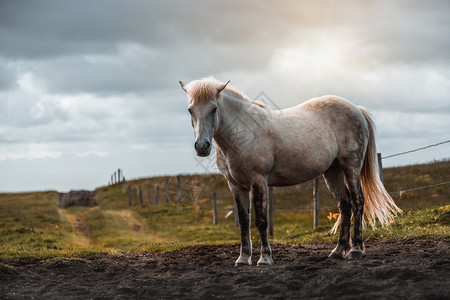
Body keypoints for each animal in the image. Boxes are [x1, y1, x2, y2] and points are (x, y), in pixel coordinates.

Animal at [179, 76, 400, 266]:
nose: (202, 147)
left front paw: (264, 258)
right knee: (345, 205)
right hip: (333, 171)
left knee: (358, 202)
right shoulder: (236, 186)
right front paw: (243, 259)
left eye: (214, 108)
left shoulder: (258, 182)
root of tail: (357, 109)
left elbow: (261, 221)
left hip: (351, 166)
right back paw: (337, 252)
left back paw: (355, 250)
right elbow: (244, 222)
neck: (243, 133)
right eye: (190, 110)